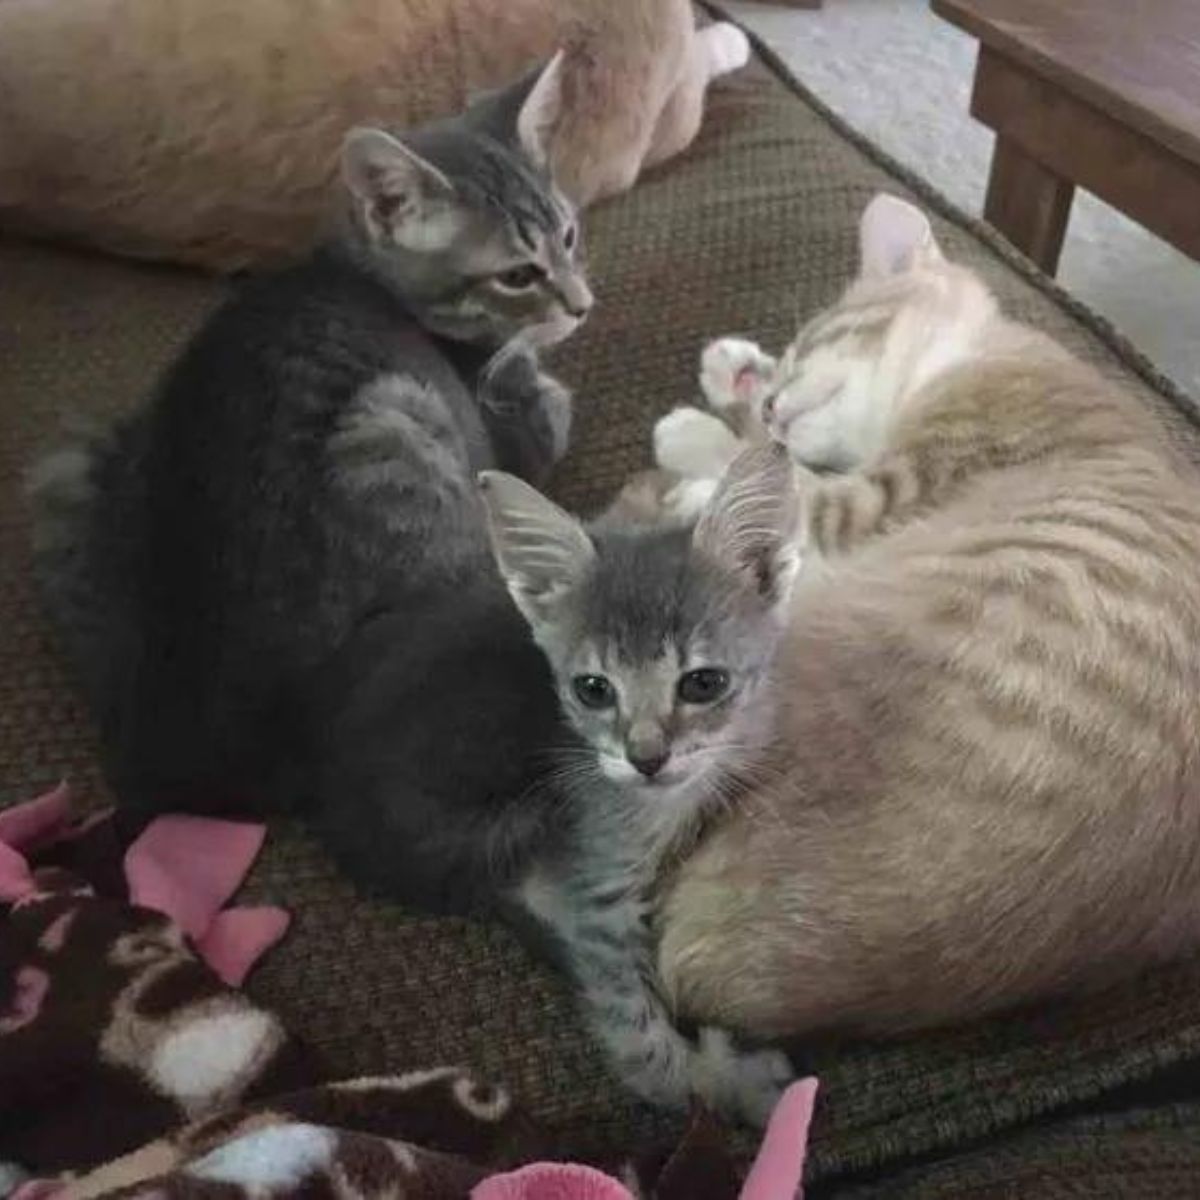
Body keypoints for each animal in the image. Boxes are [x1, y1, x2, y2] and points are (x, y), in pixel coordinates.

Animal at [34, 60, 600, 912]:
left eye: (567, 235)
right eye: (516, 274)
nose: (582, 303)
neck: (355, 270)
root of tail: (170, 765)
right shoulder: (506, 432)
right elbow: (544, 406)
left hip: (72, 468)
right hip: (396, 423)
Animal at [475, 444, 796, 1123]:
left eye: (703, 683)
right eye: (593, 689)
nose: (645, 757)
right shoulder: (587, 890)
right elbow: (634, 1027)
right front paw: (709, 1081)